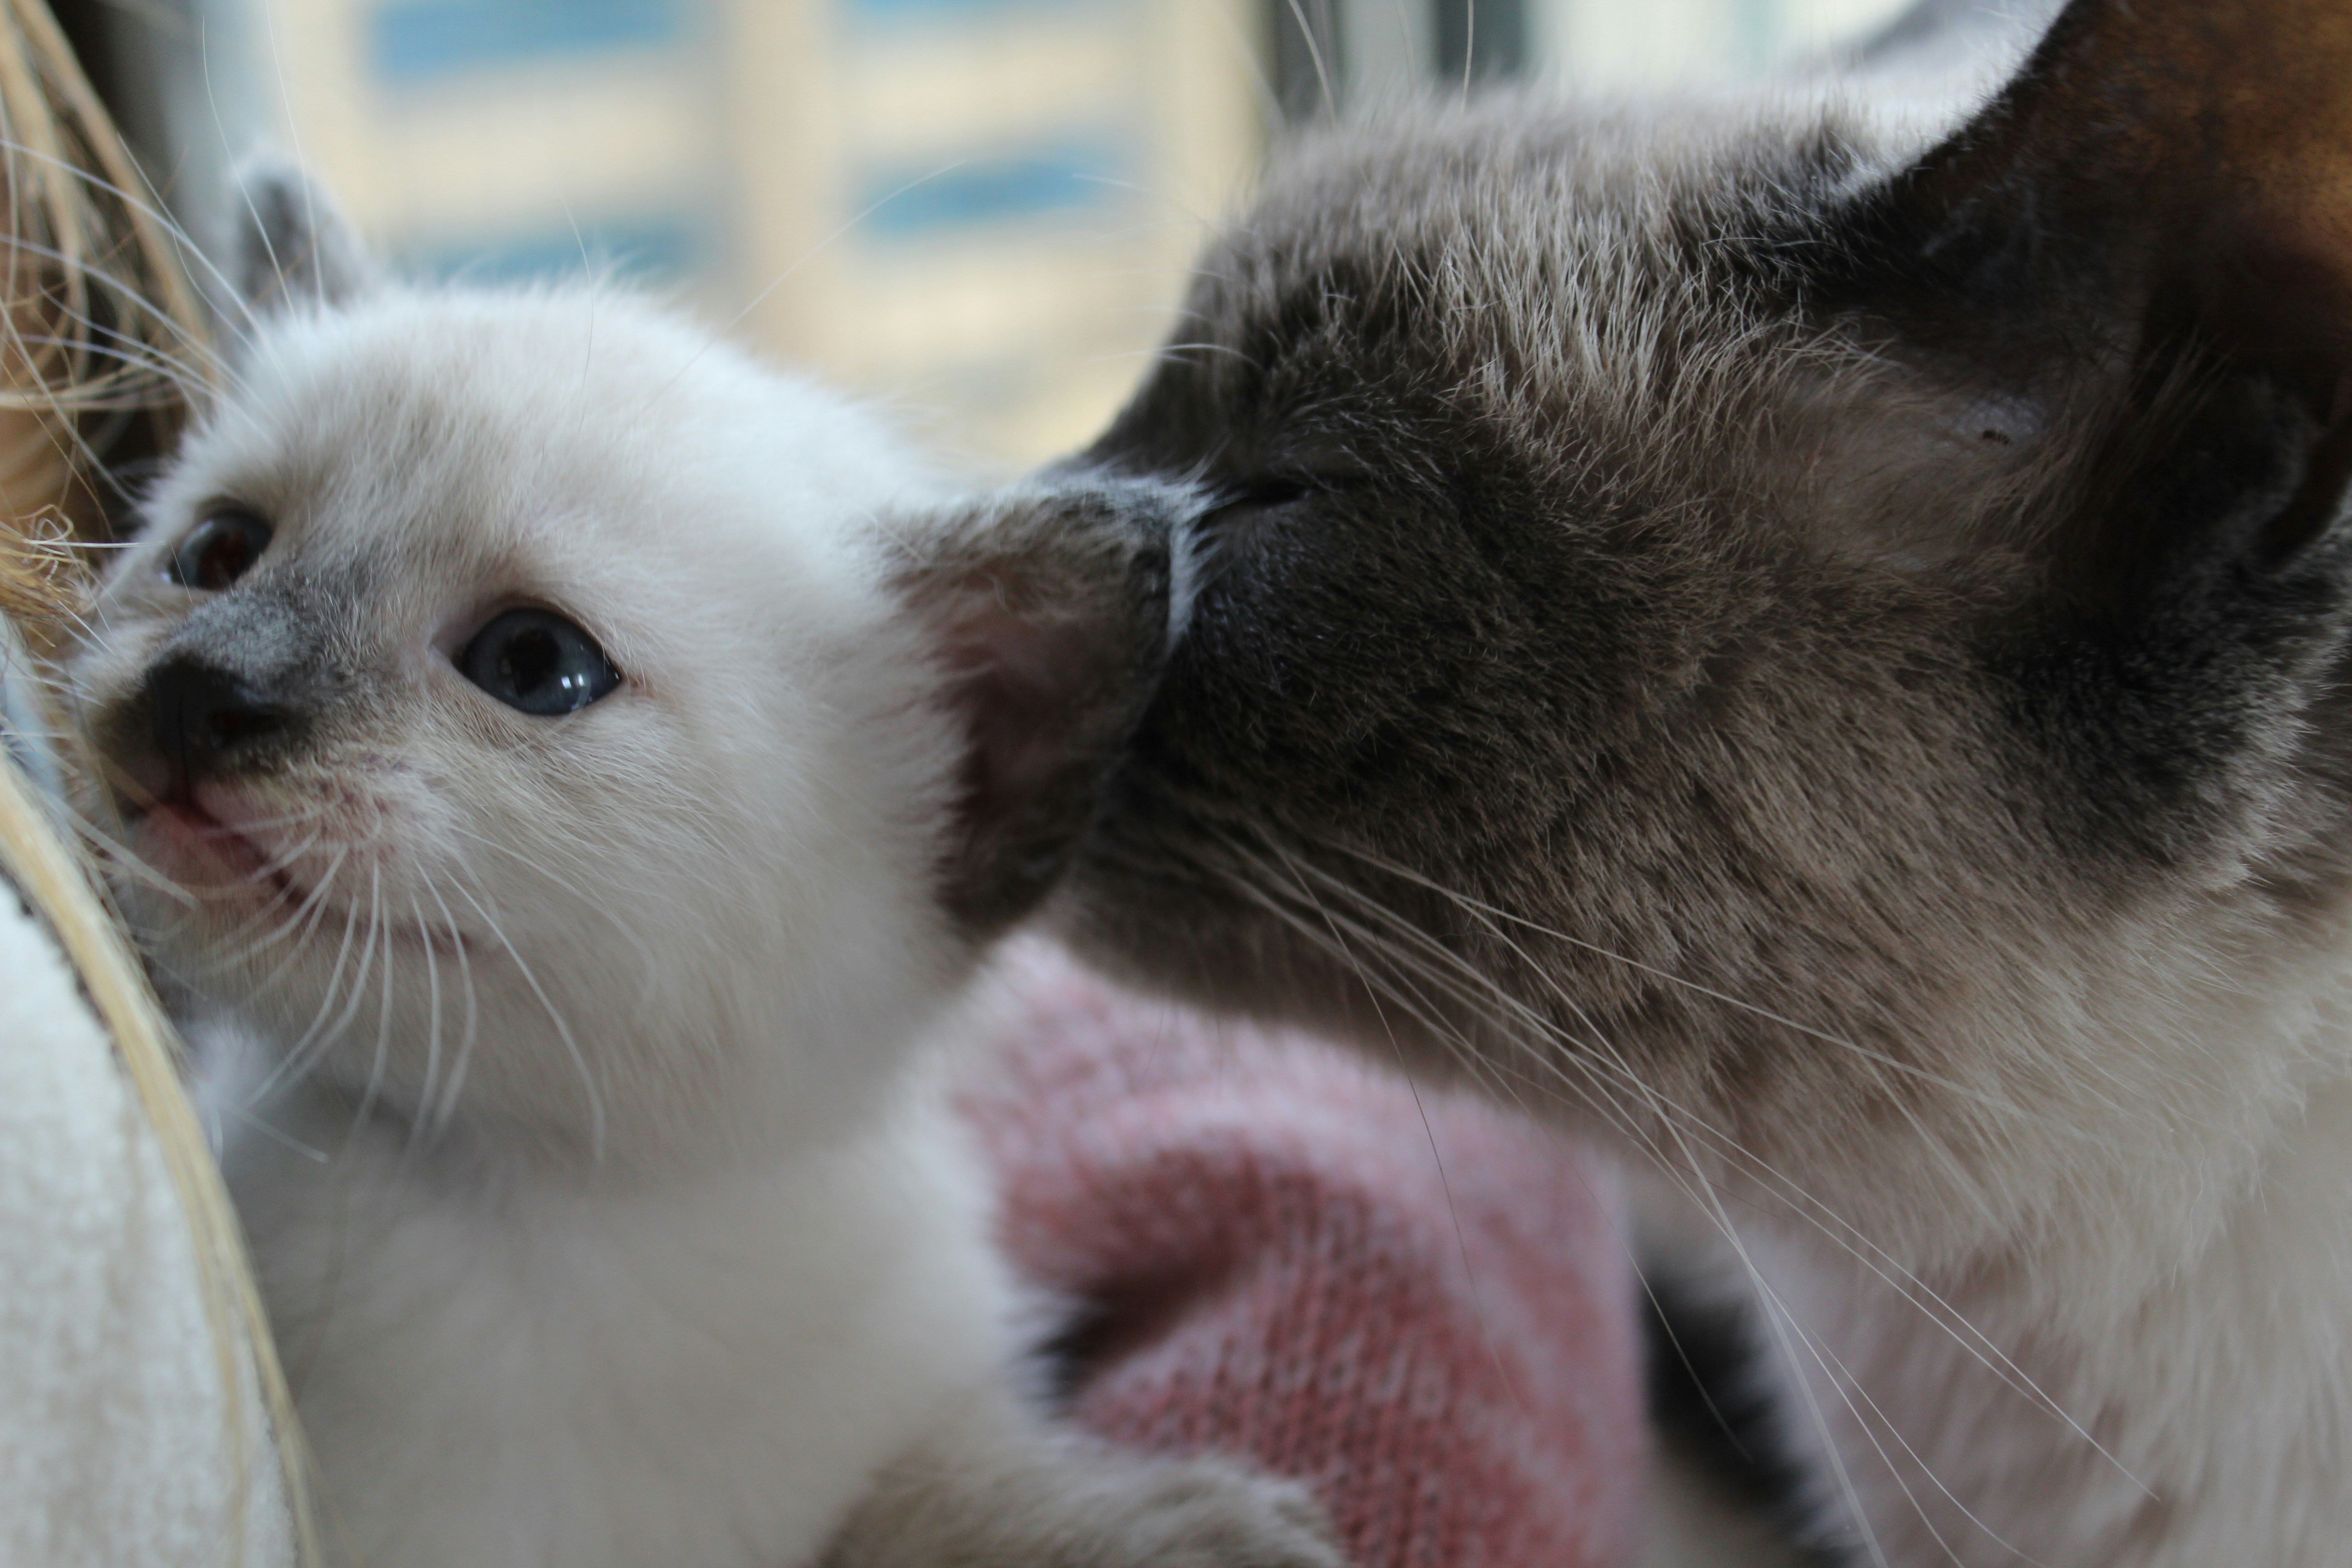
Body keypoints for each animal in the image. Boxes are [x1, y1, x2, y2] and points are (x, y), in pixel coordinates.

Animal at [69, 169, 1345, 1568]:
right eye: (217, 554)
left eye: (534, 664)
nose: (197, 693)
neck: (564, 1228)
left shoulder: (893, 1435)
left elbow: (939, 1494)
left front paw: (1191, 1528)